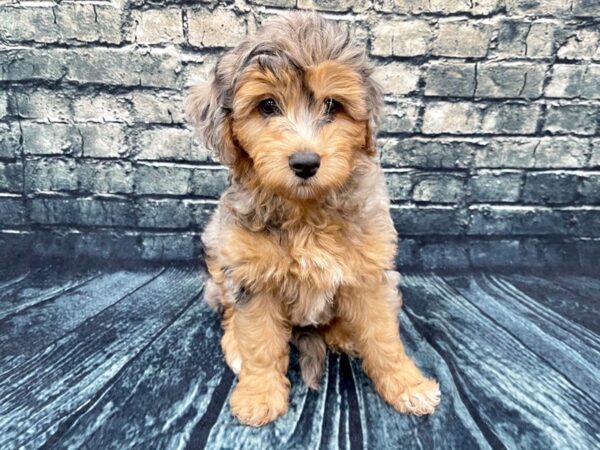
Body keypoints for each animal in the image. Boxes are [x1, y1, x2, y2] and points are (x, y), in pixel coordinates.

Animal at [185, 10, 438, 426]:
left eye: (332, 105)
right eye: (267, 106)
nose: (305, 162)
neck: (305, 211)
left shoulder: (370, 273)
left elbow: (384, 336)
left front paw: (407, 385)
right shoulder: (254, 278)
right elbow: (259, 340)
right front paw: (258, 395)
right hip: (219, 263)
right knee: (229, 312)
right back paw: (235, 342)